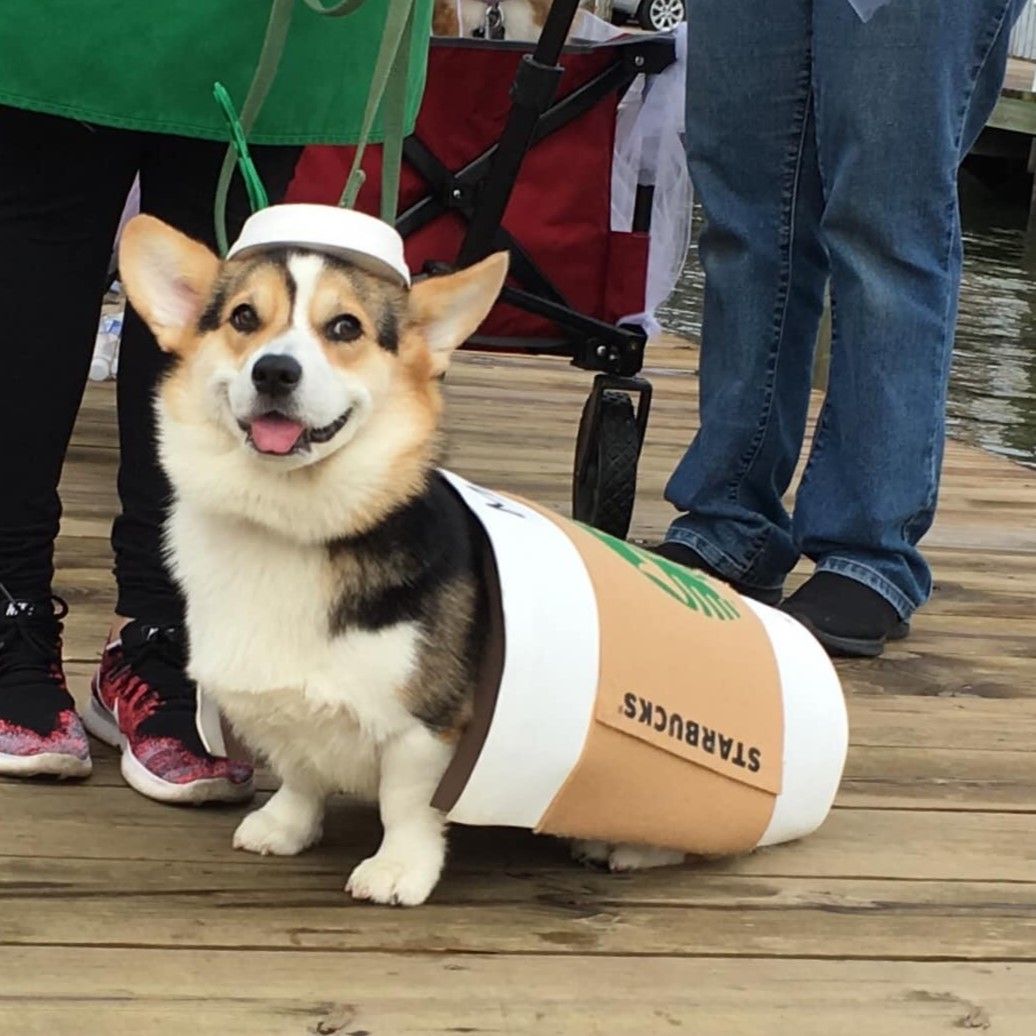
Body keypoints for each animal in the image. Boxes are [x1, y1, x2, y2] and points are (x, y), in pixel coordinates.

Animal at [117, 206, 679, 903]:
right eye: (244, 318)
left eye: (345, 327)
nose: (274, 371)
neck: (289, 522)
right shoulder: (283, 710)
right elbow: (299, 772)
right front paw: (284, 828)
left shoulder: (426, 725)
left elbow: (405, 804)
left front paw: (397, 870)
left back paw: (624, 846)